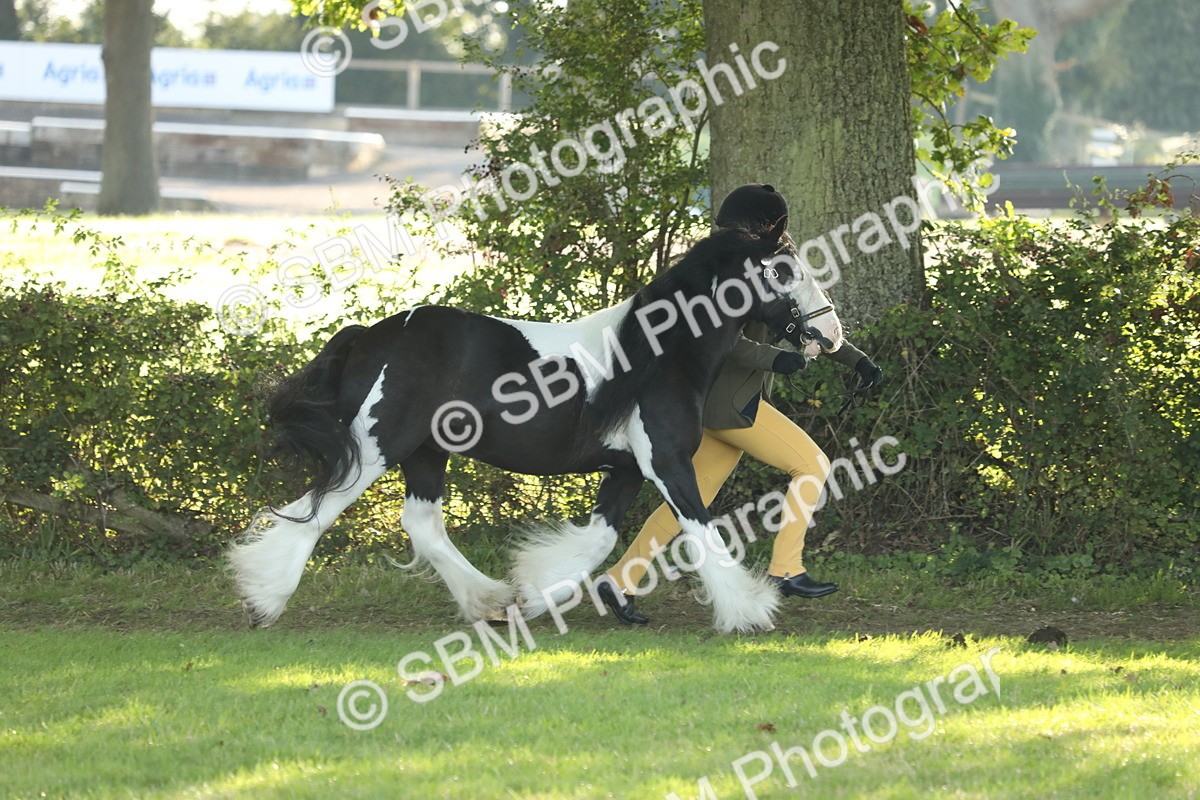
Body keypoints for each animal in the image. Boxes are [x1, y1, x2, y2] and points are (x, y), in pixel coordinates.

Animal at [228, 216, 844, 633]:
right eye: (784, 270)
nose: (831, 334)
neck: (660, 353)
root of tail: (370, 336)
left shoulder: (626, 470)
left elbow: (600, 538)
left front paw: (541, 587)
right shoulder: (667, 463)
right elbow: (699, 528)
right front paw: (751, 610)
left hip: (426, 453)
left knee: (421, 524)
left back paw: (491, 602)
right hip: (377, 446)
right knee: (317, 510)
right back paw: (264, 598)